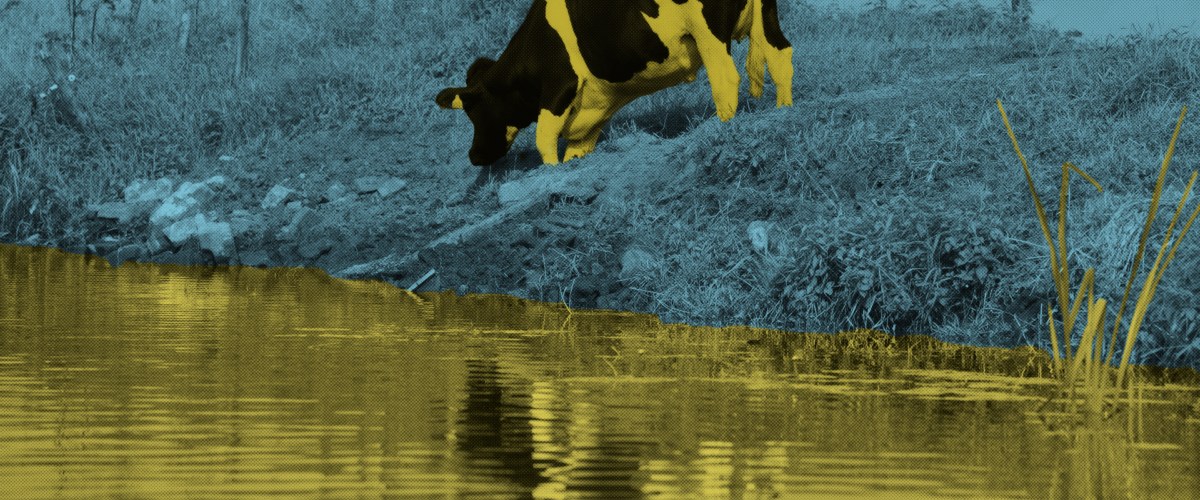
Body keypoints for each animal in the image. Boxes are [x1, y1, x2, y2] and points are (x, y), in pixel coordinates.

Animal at [436, 0, 792, 167]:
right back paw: (783, 109)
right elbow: (576, 149)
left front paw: (550, 171)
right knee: (780, 54)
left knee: (724, 76)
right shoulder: (592, 107)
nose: (474, 156)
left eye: (474, 110)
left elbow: (544, 138)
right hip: (765, 15)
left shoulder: (559, 87)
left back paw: (722, 127)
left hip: (707, 29)